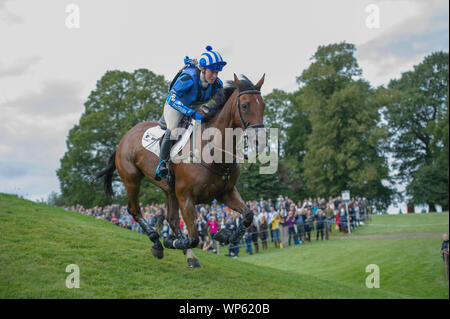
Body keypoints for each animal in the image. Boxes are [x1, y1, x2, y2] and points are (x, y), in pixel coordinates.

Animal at [95, 74, 264, 268]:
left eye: (263, 105)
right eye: (244, 105)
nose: (260, 141)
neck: (212, 151)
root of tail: (124, 138)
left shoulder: (225, 193)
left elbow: (248, 215)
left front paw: (225, 236)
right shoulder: (186, 198)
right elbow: (194, 238)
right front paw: (172, 241)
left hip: (169, 190)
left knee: (172, 220)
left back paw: (188, 255)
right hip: (132, 180)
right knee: (134, 210)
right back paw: (157, 242)